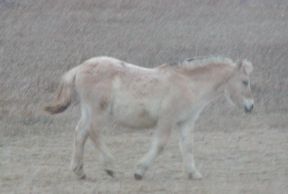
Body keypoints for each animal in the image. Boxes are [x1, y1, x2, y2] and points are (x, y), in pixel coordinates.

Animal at [44, 55, 253, 180]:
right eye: (245, 81)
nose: (250, 107)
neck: (188, 83)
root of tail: (80, 68)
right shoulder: (167, 119)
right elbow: (160, 144)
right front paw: (139, 170)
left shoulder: (186, 122)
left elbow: (187, 146)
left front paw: (193, 173)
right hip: (99, 111)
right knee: (93, 132)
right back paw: (110, 166)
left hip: (88, 111)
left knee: (80, 133)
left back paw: (79, 171)